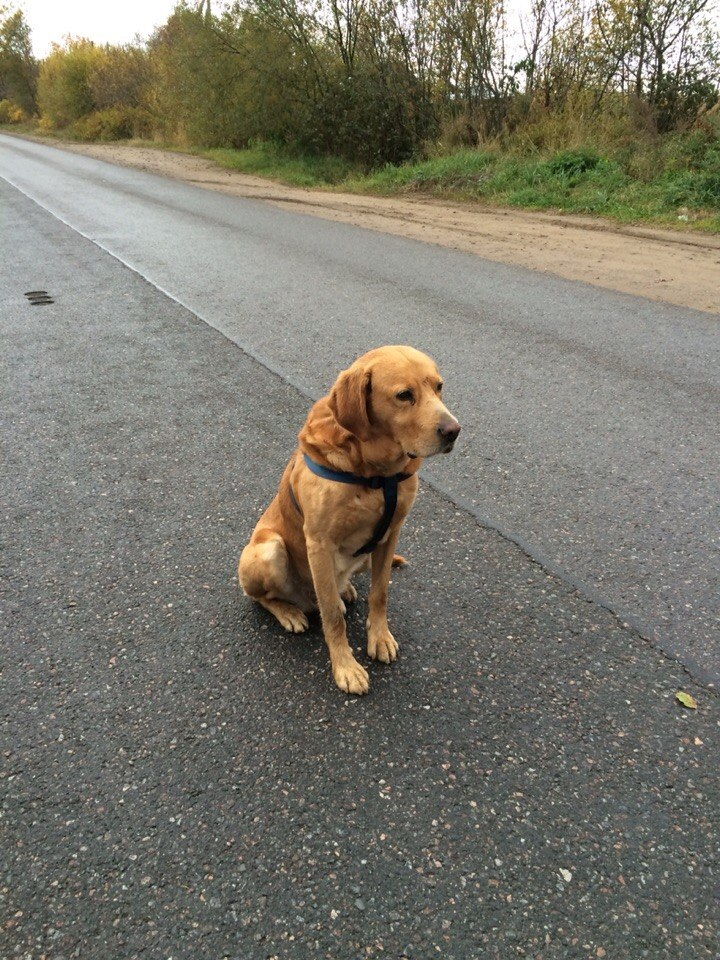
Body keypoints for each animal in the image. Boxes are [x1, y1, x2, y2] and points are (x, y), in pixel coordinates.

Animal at [238, 348, 462, 692]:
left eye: (439, 387)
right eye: (404, 395)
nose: (454, 431)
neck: (375, 474)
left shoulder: (391, 533)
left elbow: (380, 593)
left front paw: (379, 637)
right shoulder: (318, 544)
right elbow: (332, 617)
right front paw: (345, 666)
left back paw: (345, 591)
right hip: (267, 550)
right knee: (264, 597)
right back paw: (289, 611)